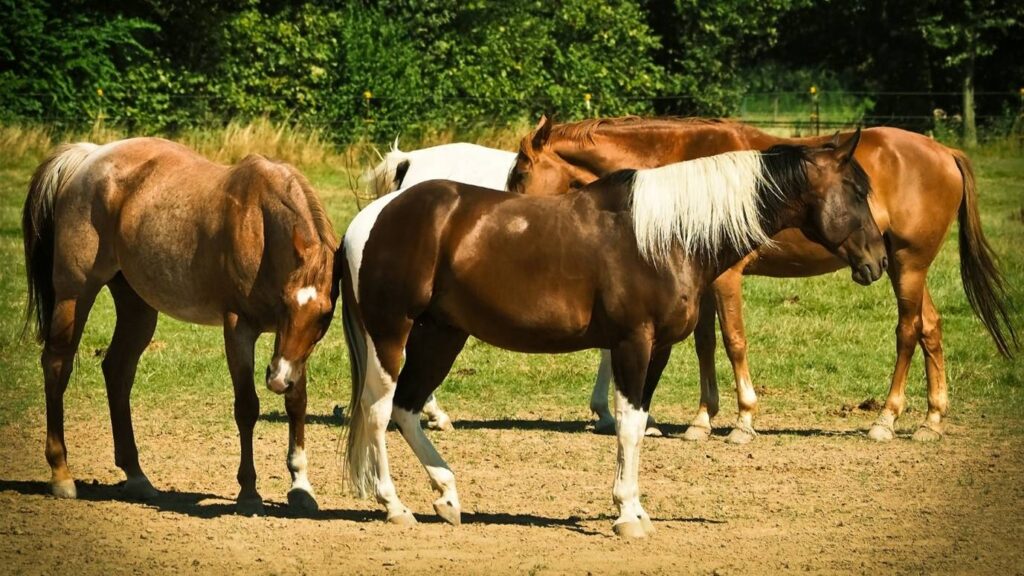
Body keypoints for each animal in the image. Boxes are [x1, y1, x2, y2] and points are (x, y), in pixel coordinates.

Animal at [22, 136, 339, 512]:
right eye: (288, 303)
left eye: (324, 314)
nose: (277, 380)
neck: (260, 227)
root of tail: (89, 156)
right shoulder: (239, 329)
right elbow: (247, 407)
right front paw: (249, 492)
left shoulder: (291, 350)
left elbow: (297, 402)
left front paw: (301, 486)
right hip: (75, 293)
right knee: (57, 366)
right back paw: (61, 474)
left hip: (137, 307)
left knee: (117, 371)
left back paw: (137, 476)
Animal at [339, 132, 884, 537]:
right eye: (858, 192)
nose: (877, 262)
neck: (666, 236)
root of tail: (372, 217)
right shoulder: (632, 344)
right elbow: (626, 424)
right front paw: (627, 515)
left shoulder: (658, 349)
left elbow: (639, 425)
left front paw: (636, 509)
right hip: (391, 335)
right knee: (379, 410)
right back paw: (395, 506)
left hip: (442, 335)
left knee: (408, 408)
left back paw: (447, 495)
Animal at [505, 114, 1015, 440]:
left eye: (520, 175)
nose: (509, 218)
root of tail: (942, 150)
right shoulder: (701, 280)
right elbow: (705, 345)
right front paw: (701, 420)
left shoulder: (726, 278)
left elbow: (733, 342)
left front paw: (744, 420)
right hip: (906, 267)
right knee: (931, 328)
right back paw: (932, 420)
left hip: (906, 266)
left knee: (908, 330)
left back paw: (886, 421)